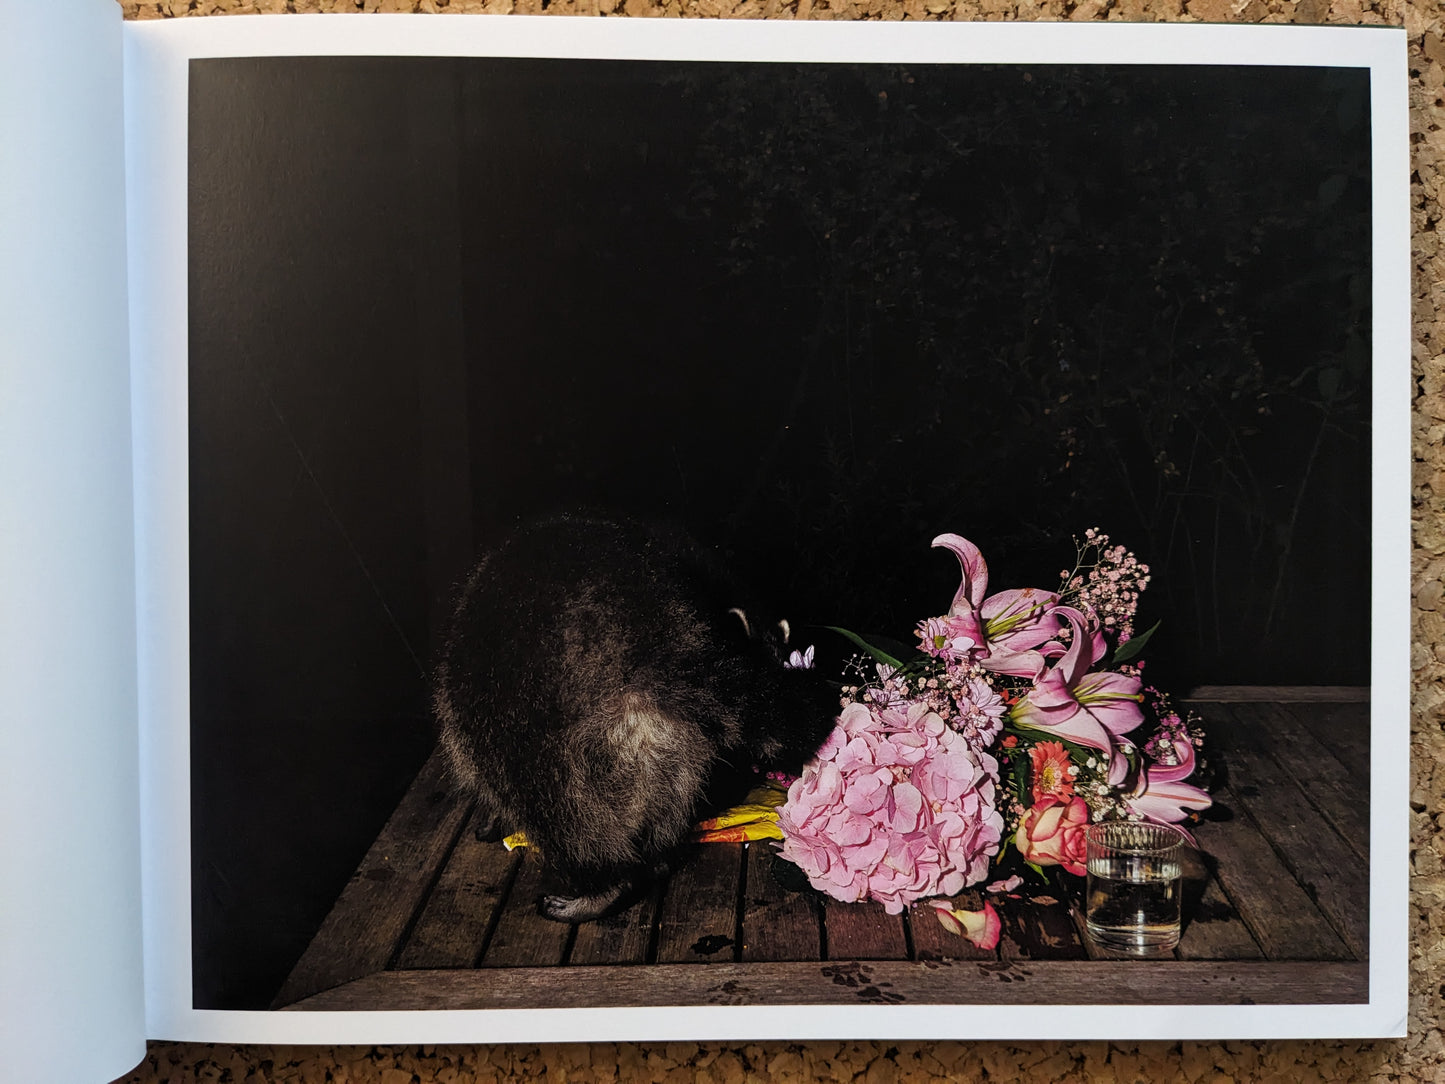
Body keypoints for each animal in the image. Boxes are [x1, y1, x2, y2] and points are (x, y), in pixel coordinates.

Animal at [433, 514, 839, 923]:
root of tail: (666, 643)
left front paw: (490, 815)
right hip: (670, 750)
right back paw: (655, 859)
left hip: (556, 735)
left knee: (555, 806)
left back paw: (602, 882)